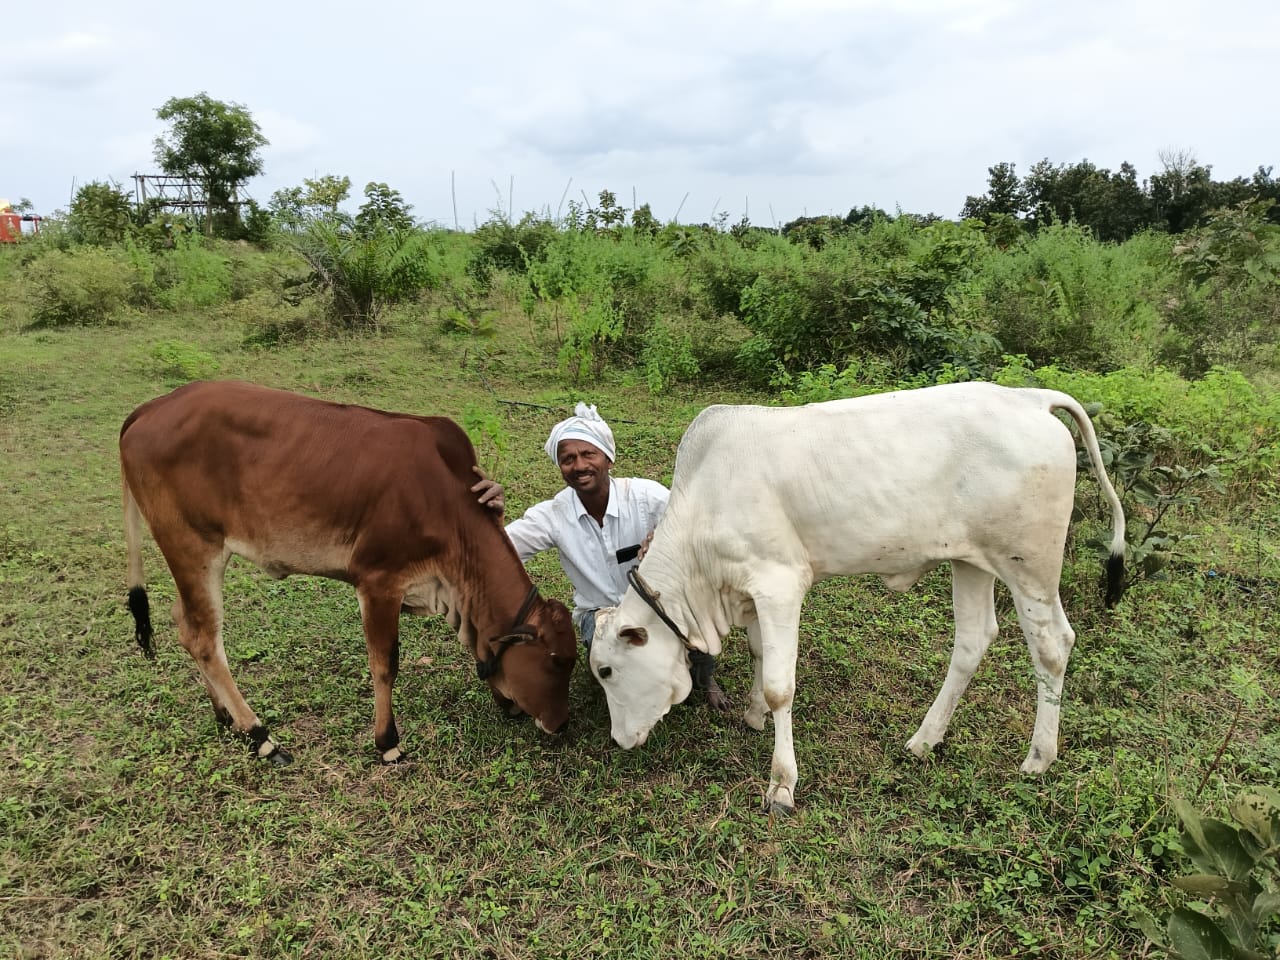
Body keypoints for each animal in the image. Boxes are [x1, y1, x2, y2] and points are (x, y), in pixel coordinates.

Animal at [120, 380, 577, 765]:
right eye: (556, 662)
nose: (561, 724)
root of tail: (151, 408)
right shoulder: (378, 582)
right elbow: (385, 664)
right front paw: (388, 742)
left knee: (185, 624)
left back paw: (224, 715)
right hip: (194, 546)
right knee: (204, 639)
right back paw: (260, 735)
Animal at [588, 382, 1127, 812]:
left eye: (607, 671)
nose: (617, 740)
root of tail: (1030, 397)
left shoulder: (780, 583)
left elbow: (780, 685)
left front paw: (781, 783)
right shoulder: (753, 589)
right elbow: (761, 654)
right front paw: (753, 716)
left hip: (1029, 564)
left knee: (1052, 645)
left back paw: (1038, 757)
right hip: (971, 561)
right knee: (973, 640)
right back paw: (924, 739)